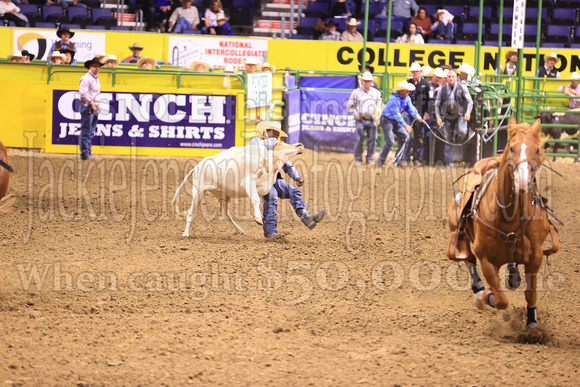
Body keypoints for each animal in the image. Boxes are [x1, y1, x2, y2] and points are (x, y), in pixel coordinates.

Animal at [446, 116, 560, 328]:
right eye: (512, 148)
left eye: (537, 149)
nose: (522, 181)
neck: (508, 215)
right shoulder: (486, 260)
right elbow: (500, 300)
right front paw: (486, 296)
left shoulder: (536, 255)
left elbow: (531, 293)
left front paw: (532, 322)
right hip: (460, 233)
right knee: (468, 258)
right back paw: (480, 292)